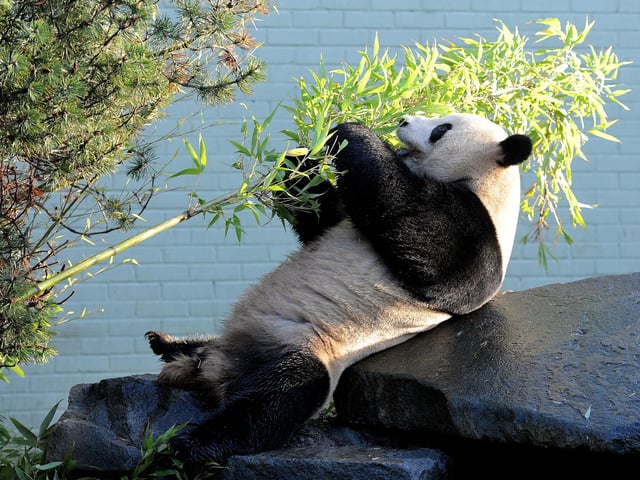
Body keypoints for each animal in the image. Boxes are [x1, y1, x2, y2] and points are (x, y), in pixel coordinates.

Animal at [145, 112, 532, 464]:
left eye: (441, 129)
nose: (404, 120)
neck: (488, 183)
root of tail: (217, 367)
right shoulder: (344, 219)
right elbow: (322, 215)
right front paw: (300, 157)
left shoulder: (475, 242)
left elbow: (414, 217)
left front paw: (350, 131)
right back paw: (168, 344)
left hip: (304, 347)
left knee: (276, 400)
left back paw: (186, 445)